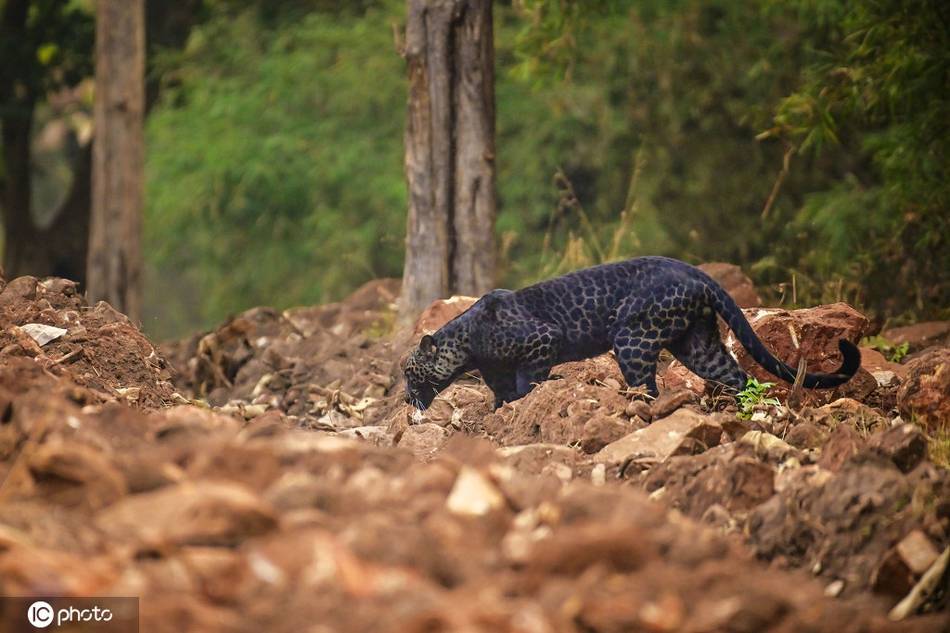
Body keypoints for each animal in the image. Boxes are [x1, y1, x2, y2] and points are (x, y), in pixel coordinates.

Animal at [402, 256, 864, 410]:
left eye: (409, 372)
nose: (405, 397)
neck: (467, 343)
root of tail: (695, 272)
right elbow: (499, 392)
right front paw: (498, 413)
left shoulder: (542, 340)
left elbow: (525, 381)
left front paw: (522, 403)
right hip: (697, 343)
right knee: (736, 373)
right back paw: (734, 410)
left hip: (633, 339)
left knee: (648, 386)